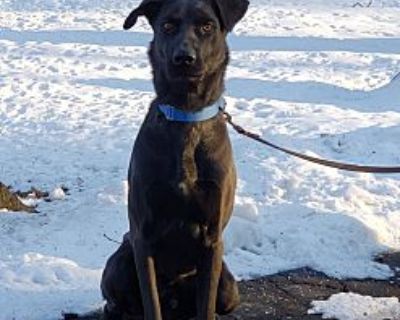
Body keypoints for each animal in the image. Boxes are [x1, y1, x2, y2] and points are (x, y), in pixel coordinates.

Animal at [100, 0, 248, 318]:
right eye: (167, 25)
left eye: (207, 26)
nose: (184, 58)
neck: (186, 114)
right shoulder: (143, 237)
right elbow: (151, 305)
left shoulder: (212, 238)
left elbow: (206, 307)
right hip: (120, 263)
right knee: (116, 302)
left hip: (229, 287)